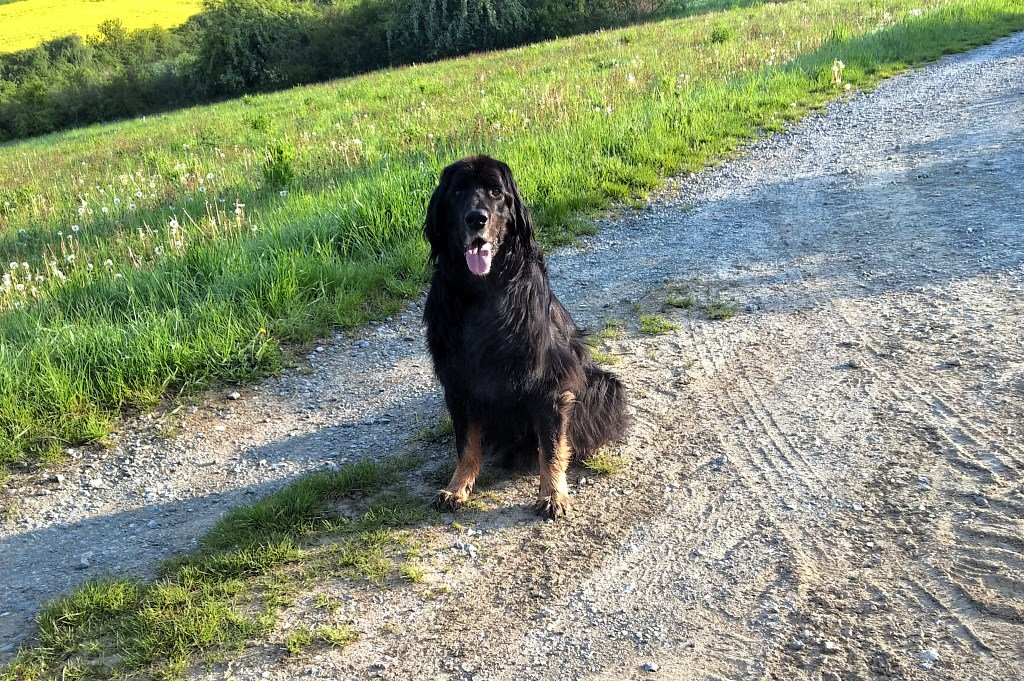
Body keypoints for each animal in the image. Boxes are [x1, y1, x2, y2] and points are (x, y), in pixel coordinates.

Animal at [422, 155, 628, 519]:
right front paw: (457, 488)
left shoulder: (549, 383)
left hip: (604, 386)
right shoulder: (459, 382)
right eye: (457, 192)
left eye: (495, 191)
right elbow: (466, 444)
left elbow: (552, 445)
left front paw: (554, 494)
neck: (482, 292)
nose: (476, 218)